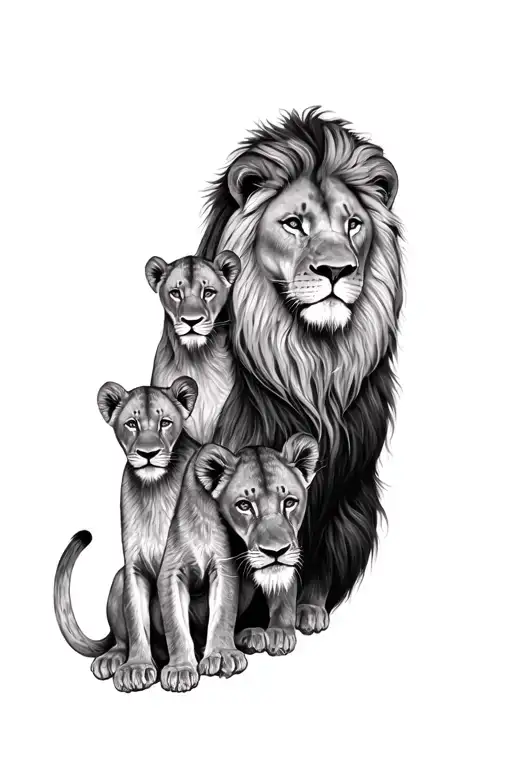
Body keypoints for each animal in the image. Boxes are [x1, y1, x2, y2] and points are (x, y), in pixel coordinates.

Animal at [54, 378, 198, 693]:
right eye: (132, 424)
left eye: (165, 422)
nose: (148, 453)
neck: (154, 490)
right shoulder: (133, 566)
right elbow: (136, 620)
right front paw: (137, 667)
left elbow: (175, 620)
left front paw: (180, 669)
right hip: (119, 577)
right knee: (121, 639)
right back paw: (112, 659)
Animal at [157, 431, 319, 692]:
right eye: (244, 505)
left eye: (289, 502)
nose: (276, 551)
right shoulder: (172, 569)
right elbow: (175, 622)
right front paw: (180, 669)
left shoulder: (227, 567)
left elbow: (227, 609)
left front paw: (278, 633)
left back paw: (252, 634)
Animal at [196, 108, 403, 632]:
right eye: (293, 223)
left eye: (353, 224)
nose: (337, 270)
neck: (313, 362)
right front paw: (250, 627)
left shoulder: (343, 479)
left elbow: (315, 548)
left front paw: (304, 611)